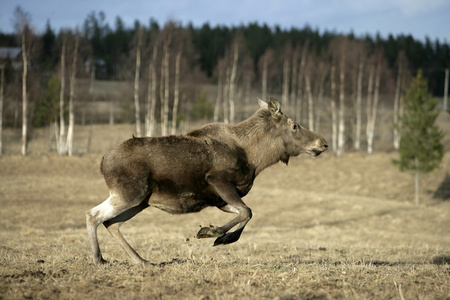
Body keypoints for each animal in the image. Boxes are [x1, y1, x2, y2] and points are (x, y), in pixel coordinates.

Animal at [86, 97, 328, 264]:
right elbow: (246, 211)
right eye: (294, 125)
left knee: (111, 223)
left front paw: (224, 237)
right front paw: (211, 232)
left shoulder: (219, 200)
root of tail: (102, 162)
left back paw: (141, 260)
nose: (323, 143)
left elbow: (246, 213)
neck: (255, 159)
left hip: (140, 201)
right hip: (129, 194)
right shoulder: (219, 181)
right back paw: (99, 259)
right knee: (93, 215)